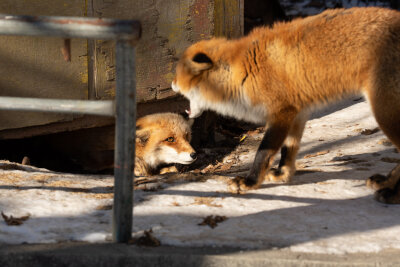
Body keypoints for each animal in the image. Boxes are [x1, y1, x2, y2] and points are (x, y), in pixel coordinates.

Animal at [172, 7, 400, 204]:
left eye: (177, 74)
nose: (171, 84)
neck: (244, 69)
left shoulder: (281, 112)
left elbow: (264, 151)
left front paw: (250, 182)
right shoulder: (297, 112)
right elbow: (288, 149)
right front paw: (283, 174)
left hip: (384, 112)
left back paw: (393, 194)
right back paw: (386, 181)